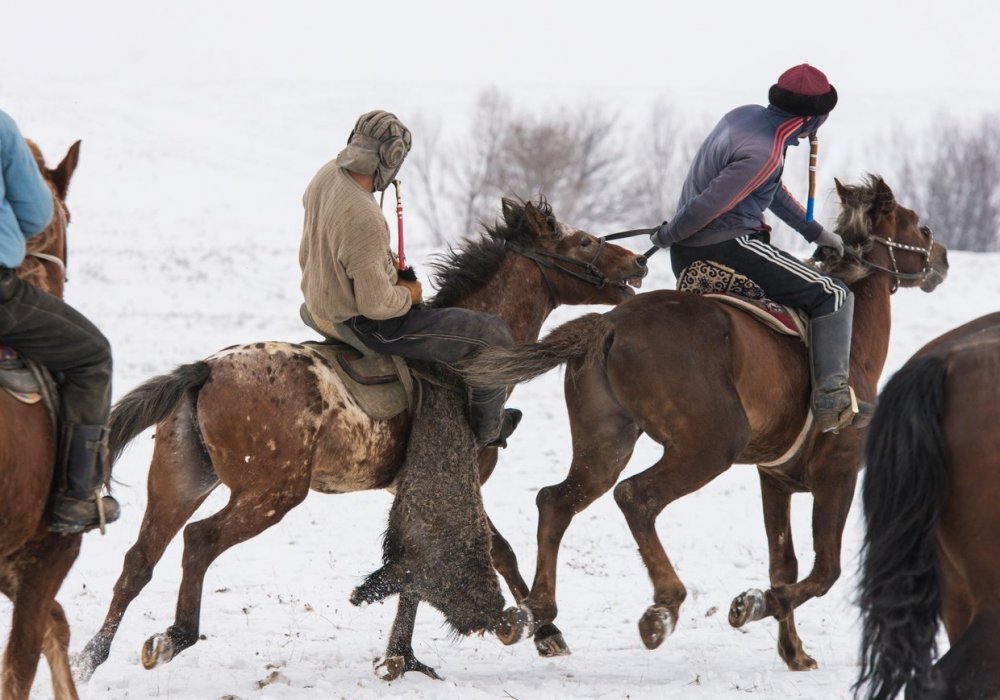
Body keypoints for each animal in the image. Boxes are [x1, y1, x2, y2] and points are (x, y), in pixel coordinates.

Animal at [72, 196, 648, 684]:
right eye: (584, 243)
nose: (637, 263)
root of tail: (206, 370)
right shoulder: (459, 480)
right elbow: (472, 556)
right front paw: (539, 631)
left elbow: (445, 560)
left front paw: (402, 657)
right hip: (268, 494)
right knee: (199, 541)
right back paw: (175, 636)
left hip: (180, 481)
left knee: (139, 560)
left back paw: (90, 657)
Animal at [460, 175, 952, 668]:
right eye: (920, 226)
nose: (942, 258)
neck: (852, 344)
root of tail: (610, 323)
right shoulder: (839, 472)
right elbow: (824, 569)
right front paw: (753, 604)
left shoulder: (775, 480)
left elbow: (784, 565)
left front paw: (793, 650)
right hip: (710, 446)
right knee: (636, 497)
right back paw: (663, 607)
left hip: (606, 445)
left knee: (556, 501)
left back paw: (537, 614)